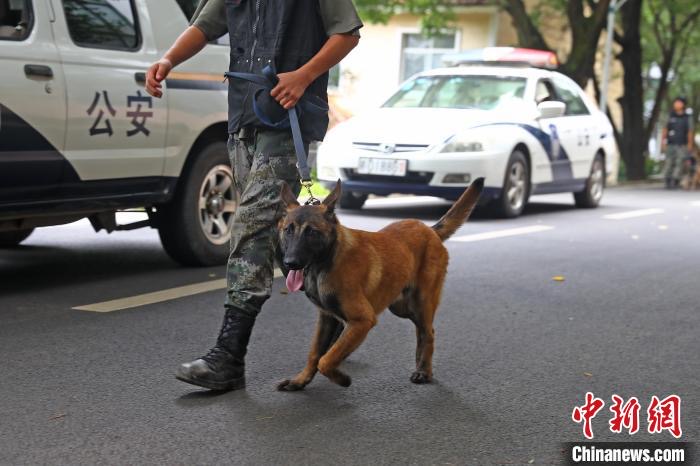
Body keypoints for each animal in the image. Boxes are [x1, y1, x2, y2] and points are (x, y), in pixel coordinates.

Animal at [276, 178, 484, 390]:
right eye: (288, 230)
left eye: (312, 232)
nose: (290, 263)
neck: (327, 260)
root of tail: (430, 230)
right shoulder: (327, 319)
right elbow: (315, 354)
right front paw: (300, 380)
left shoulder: (362, 321)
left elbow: (326, 360)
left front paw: (341, 378)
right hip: (401, 307)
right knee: (421, 332)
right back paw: (420, 364)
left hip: (420, 304)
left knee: (429, 333)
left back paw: (424, 371)